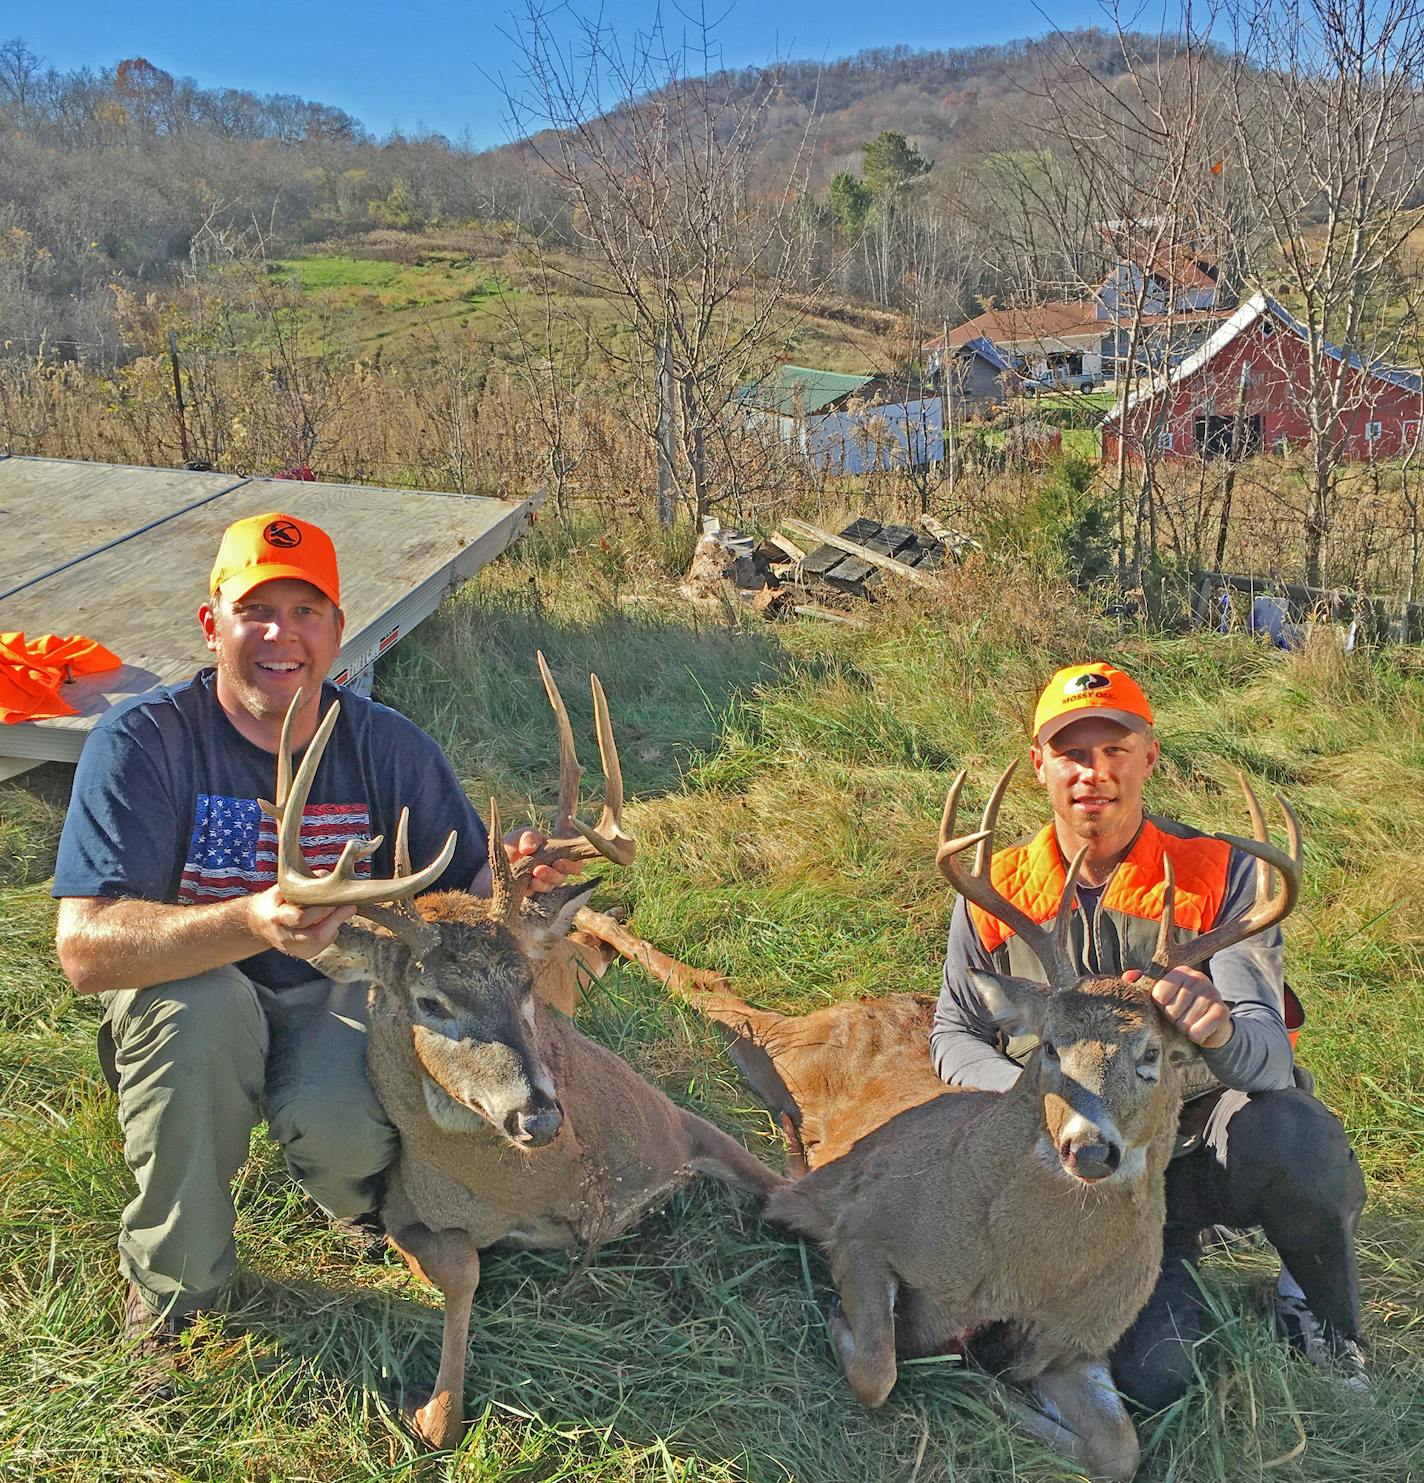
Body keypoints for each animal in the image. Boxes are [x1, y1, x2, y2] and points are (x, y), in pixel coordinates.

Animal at [261, 661, 783, 1447]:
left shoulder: (680, 1124)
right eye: (430, 1002)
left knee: (637, 948)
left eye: (525, 983)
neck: (555, 1189)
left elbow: (786, 1186)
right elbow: (461, 1280)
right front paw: (430, 1406)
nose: (536, 1117)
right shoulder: (404, 1209)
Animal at [578, 765, 1299, 1483]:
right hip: (795, 1054)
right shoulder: (865, 1225)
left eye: (1153, 1055)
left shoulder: (1075, 1342)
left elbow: (1118, 1451)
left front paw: (993, 1393)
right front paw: (849, 1324)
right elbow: (878, 1368)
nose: (1089, 1149)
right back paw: (592, 913)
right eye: (1050, 1046)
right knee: (721, 996)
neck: (1019, 1269)